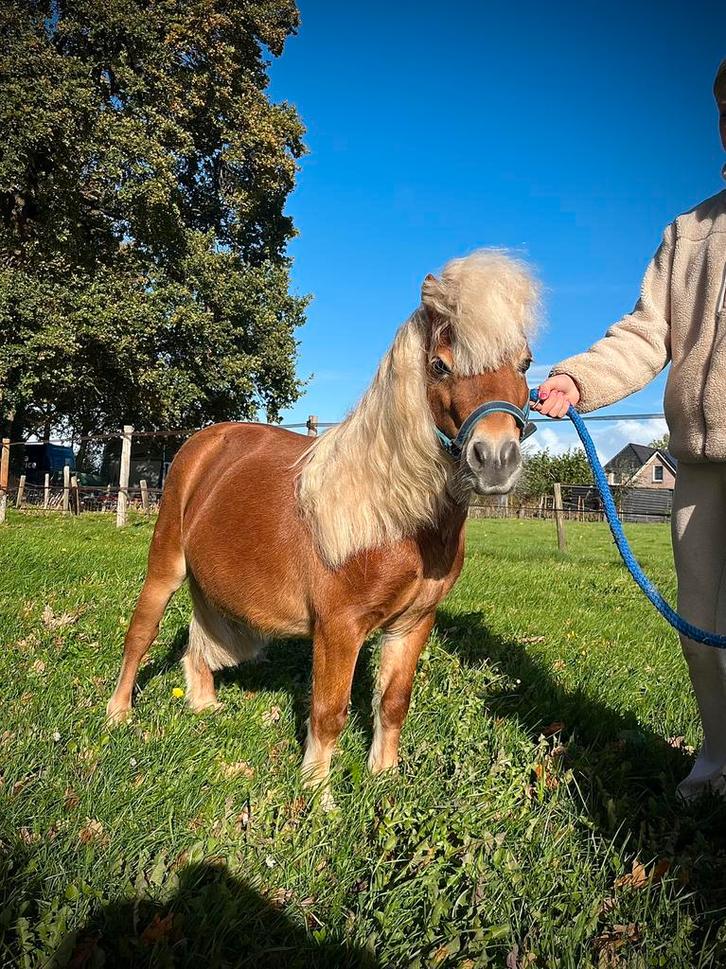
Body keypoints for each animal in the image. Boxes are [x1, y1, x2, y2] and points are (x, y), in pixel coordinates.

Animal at [107, 249, 539, 800]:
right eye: (440, 365)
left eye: (525, 363)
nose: (496, 459)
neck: (392, 518)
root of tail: (205, 441)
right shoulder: (338, 628)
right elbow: (329, 712)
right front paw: (318, 796)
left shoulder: (414, 623)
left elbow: (393, 702)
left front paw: (384, 776)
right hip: (165, 565)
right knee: (141, 633)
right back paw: (118, 714)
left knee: (199, 637)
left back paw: (203, 704)